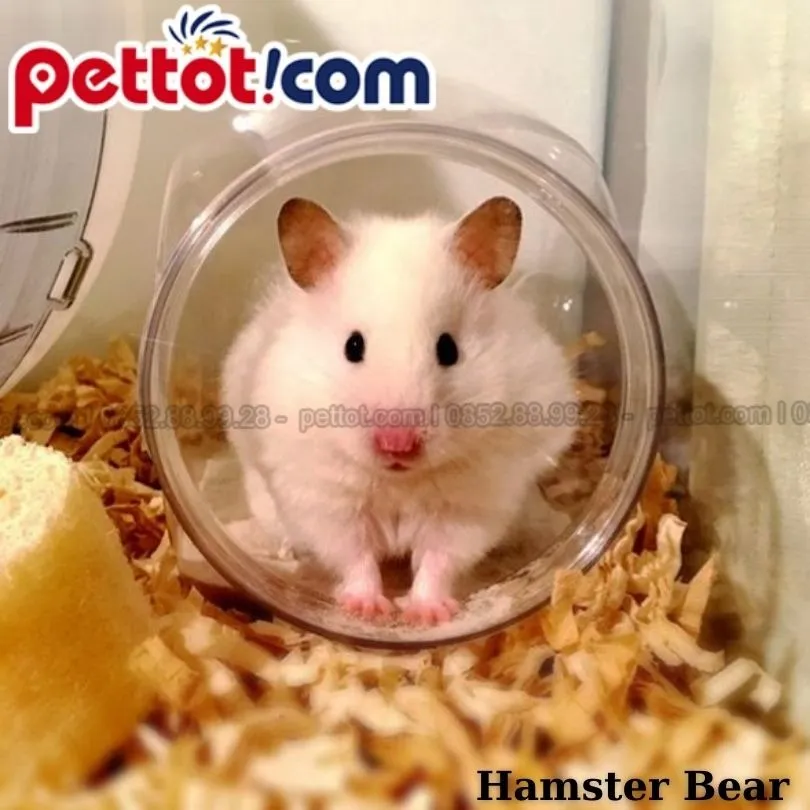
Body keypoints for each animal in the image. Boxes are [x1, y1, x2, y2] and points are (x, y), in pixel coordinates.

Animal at [220, 195, 578, 625]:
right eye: (353, 346)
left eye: (448, 349)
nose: (398, 445)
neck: (399, 481)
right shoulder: (327, 500)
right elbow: (355, 556)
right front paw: (366, 610)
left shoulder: (469, 507)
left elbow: (439, 560)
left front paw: (428, 614)